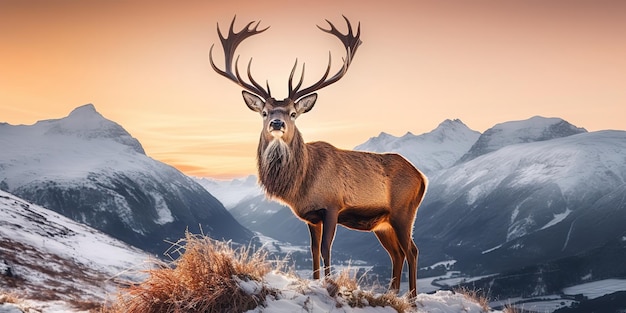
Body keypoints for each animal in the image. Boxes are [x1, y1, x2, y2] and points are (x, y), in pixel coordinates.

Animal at [207, 15, 426, 298]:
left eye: (293, 113)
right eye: (264, 112)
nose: (276, 123)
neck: (302, 184)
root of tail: (422, 177)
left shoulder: (332, 206)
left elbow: (326, 249)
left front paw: (331, 284)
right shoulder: (311, 216)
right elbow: (312, 250)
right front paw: (315, 281)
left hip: (404, 211)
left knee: (412, 250)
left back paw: (412, 297)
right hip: (383, 223)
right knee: (396, 254)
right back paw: (392, 294)